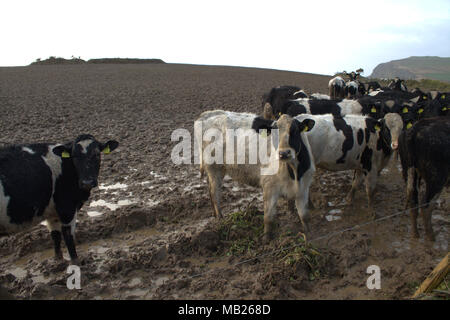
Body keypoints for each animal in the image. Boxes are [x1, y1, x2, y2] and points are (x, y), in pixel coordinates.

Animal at [0, 134, 118, 264]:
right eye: (74, 156)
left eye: (97, 154)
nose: (87, 182)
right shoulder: (67, 208)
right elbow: (68, 235)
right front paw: (76, 262)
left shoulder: (53, 213)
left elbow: (55, 235)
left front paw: (58, 261)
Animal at [195, 110, 314, 238]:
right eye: (274, 132)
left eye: (295, 131)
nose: (284, 153)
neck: (294, 172)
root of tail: (208, 114)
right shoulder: (269, 186)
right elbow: (268, 217)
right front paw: (266, 238)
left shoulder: (303, 189)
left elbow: (304, 216)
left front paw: (309, 236)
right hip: (214, 168)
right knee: (214, 192)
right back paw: (220, 218)